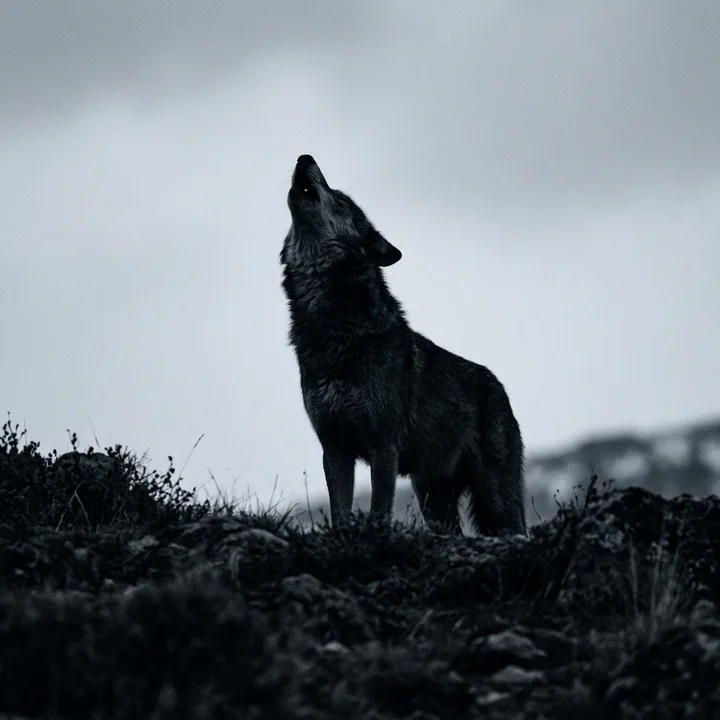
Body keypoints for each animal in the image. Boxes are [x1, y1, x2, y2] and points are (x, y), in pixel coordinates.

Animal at [280, 154, 526, 536]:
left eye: (341, 200)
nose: (304, 157)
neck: (334, 325)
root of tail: (500, 387)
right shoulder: (334, 449)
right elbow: (339, 513)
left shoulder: (384, 448)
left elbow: (379, 511)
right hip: (434, 500)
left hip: (495, 495)